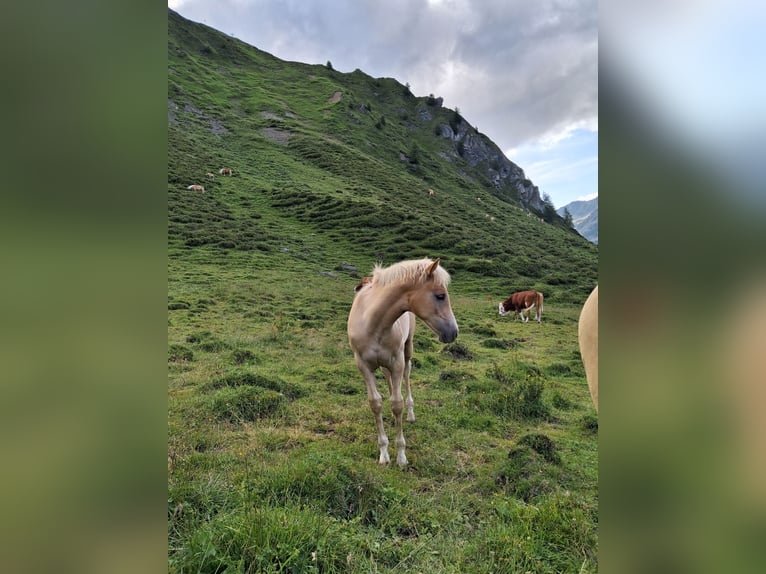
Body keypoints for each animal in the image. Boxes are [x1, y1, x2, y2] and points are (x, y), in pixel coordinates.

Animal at [347, 258, 459, 466]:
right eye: (440, 296)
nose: (453, 332)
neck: (373, 323)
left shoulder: (397, 362)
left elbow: (397, 403)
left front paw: (401, 455)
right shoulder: (363, 365)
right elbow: (375, 403)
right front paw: (384, 453)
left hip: (407, 350)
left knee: (406, 375)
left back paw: (410, 413)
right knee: (388, 378)